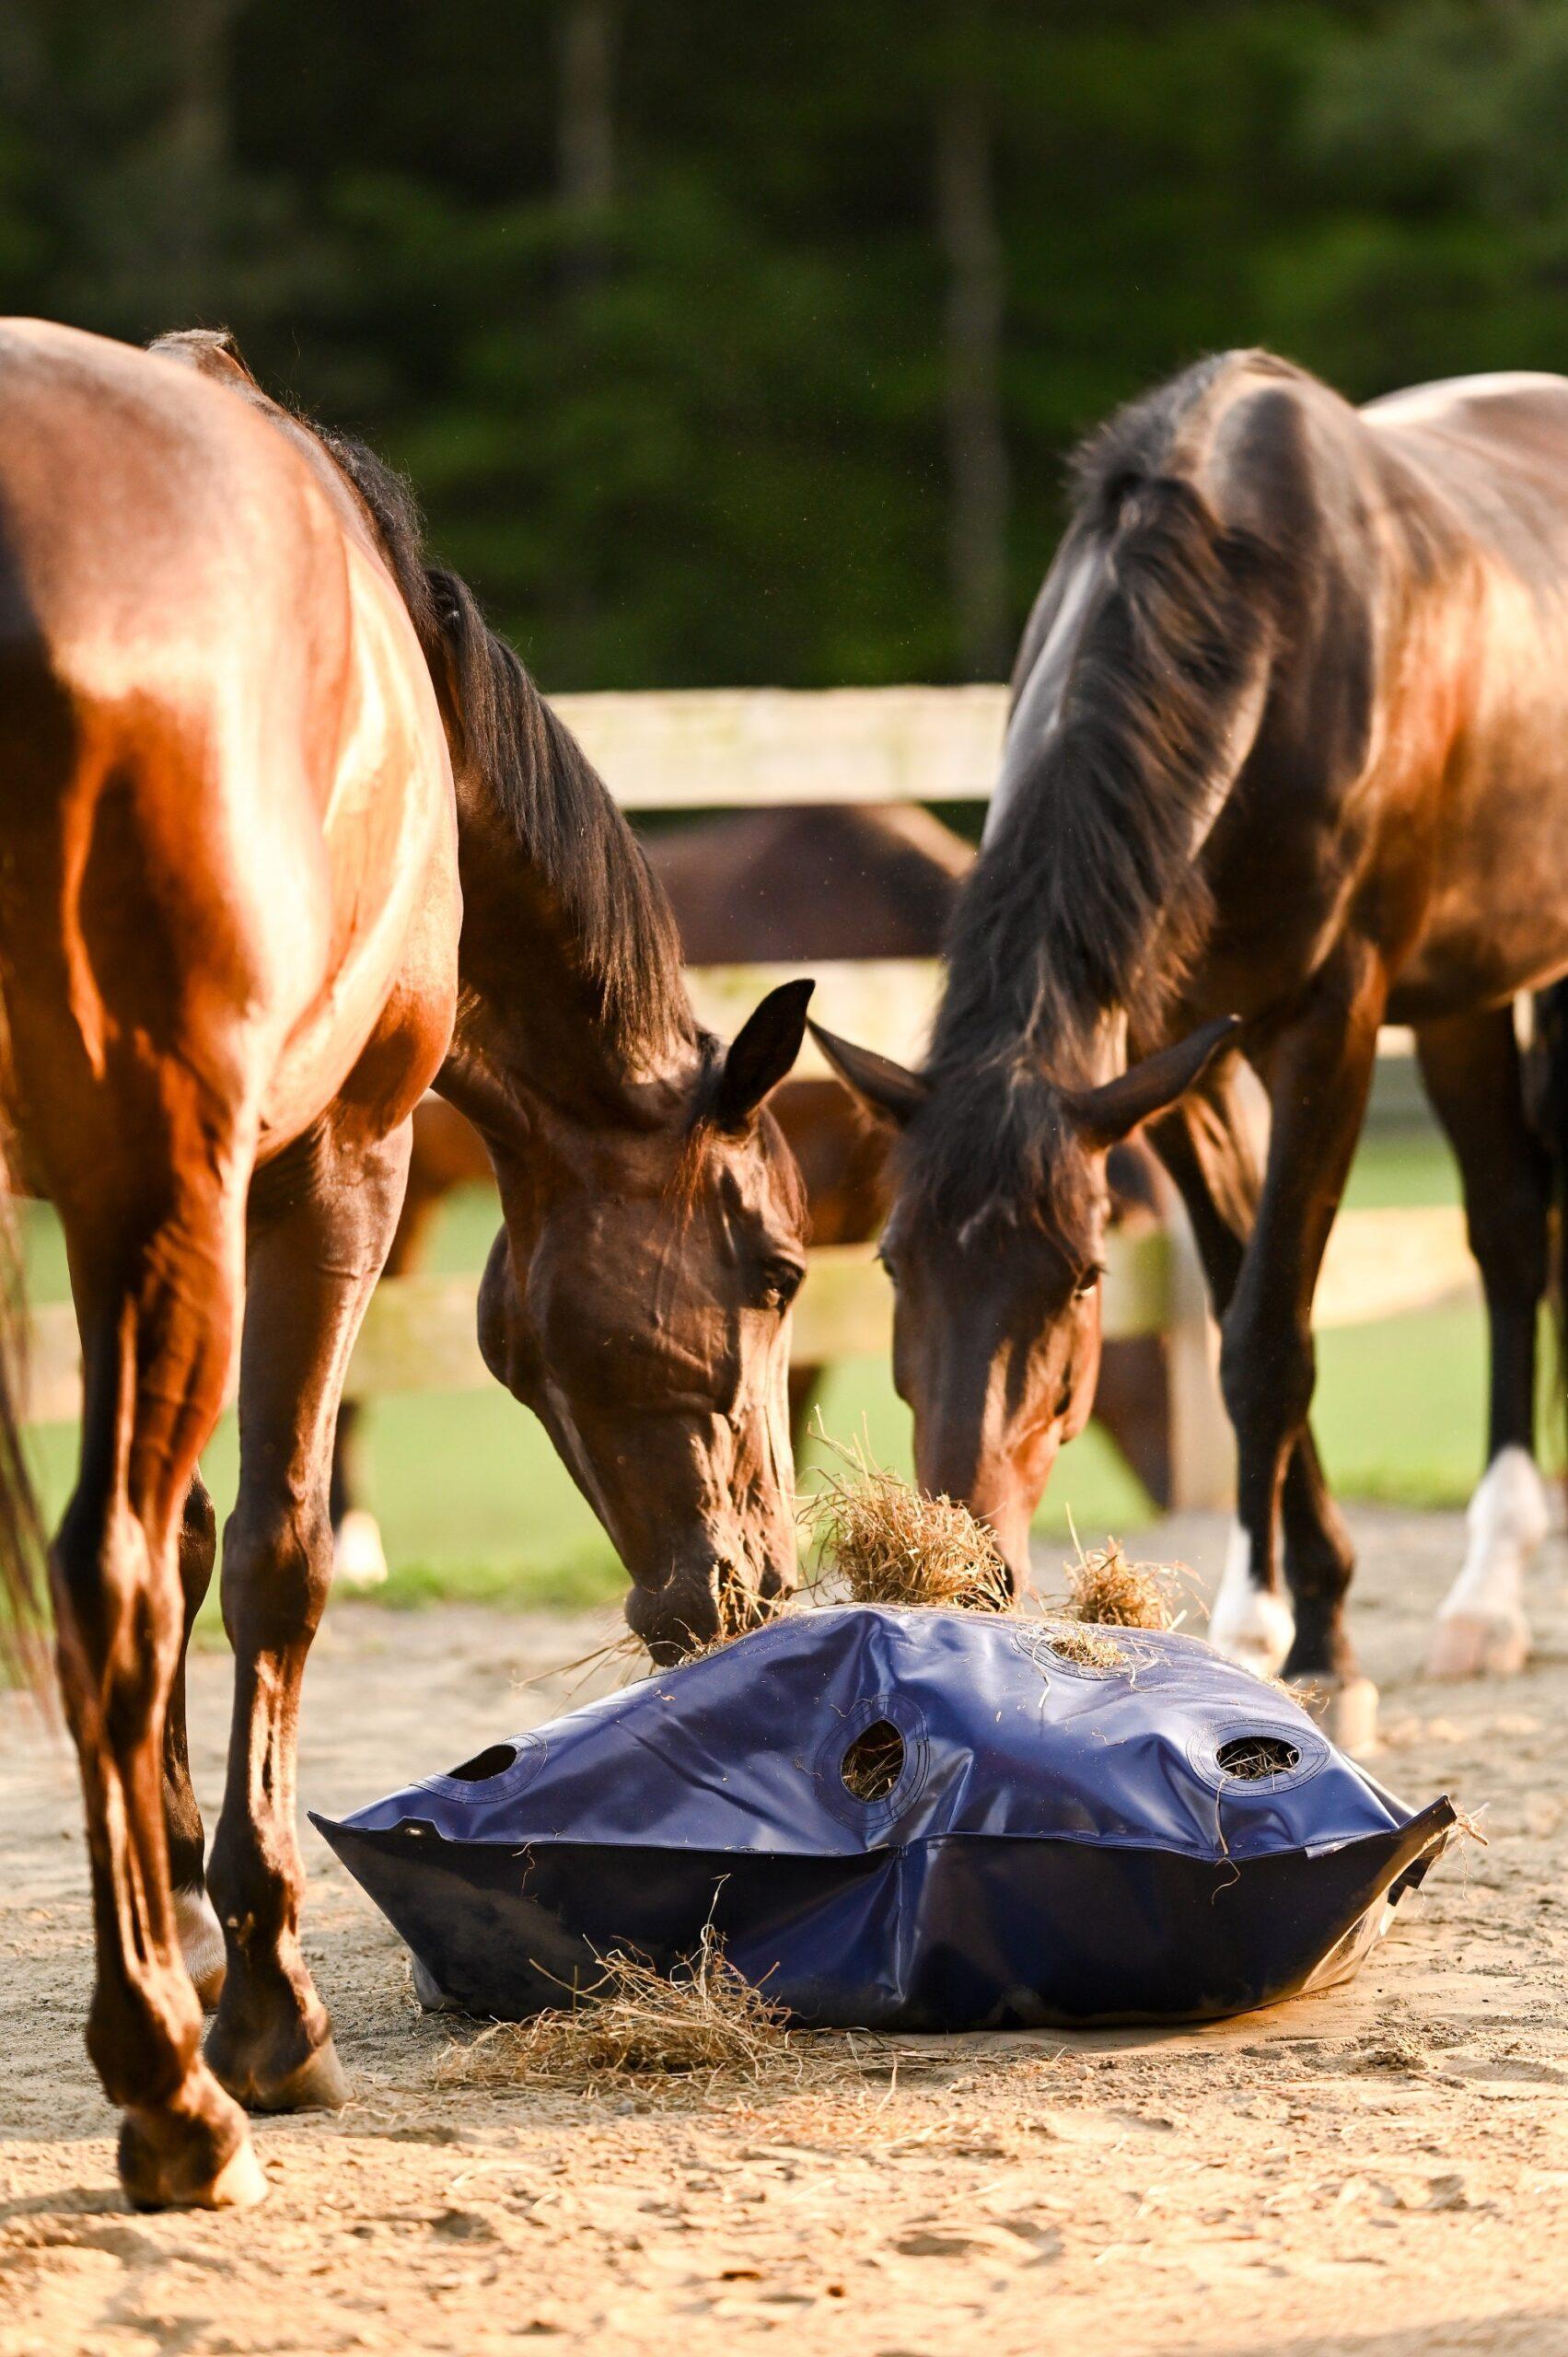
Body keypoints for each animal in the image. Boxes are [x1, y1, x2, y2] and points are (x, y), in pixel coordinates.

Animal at [0, 320, 811, 2210]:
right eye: (774, 1269)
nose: (756, 1583)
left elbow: (203, 1534)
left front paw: (188, 1905)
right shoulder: (316, 1166)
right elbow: (261, 1557)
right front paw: (258, 1998)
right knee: (107, 1580)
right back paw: (174, 2095)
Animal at [814, 350, 1568, 1719]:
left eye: (1081, 1279)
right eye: (893, 1265)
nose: (961, 1569)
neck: (1259, 625)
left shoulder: (1327, 1026)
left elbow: (1268, 1337)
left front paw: (1289, 1638)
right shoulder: (1173, 1055)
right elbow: (1237, 1310)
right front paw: (1309, 1597)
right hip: (1465, 996)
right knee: (1502, 1227)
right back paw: (1481, 1600)